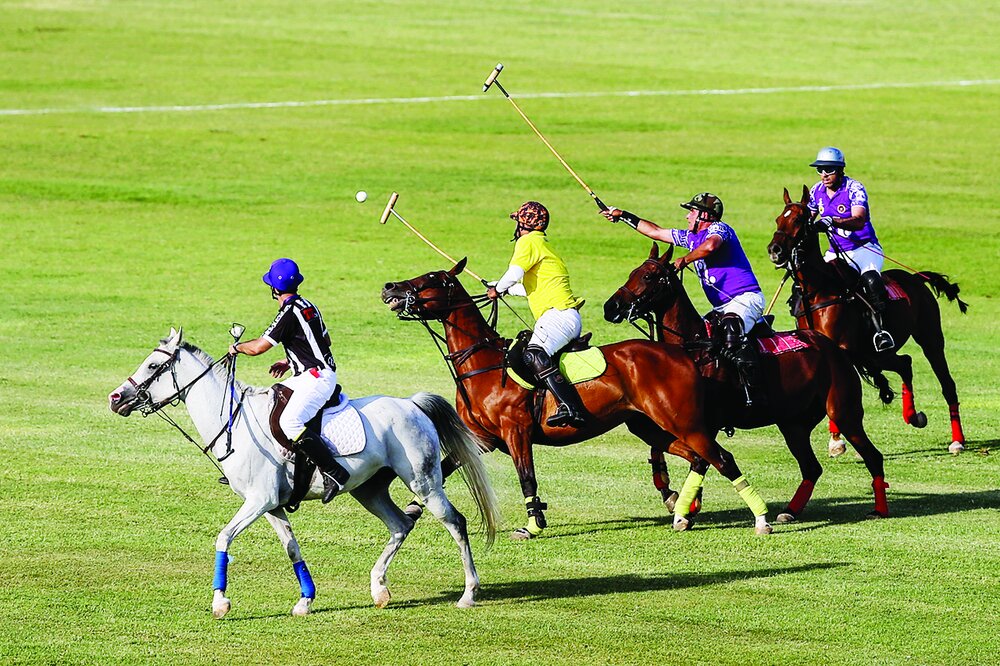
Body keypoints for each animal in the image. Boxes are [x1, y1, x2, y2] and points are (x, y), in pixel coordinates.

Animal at [108, 326, 500, 612]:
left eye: (153, 367)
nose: (115, 399)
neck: (233, 421)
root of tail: (413, 404)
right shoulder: (273, 505)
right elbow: (293, 549)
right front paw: (305, 601)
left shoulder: (259, 500)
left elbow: (224, 537)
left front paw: (220, 602)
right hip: (369, 489)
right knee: (401, 525)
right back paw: (379, 590)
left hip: (423, 481)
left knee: (455, 522)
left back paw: (468, 594)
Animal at [382, 256, 772, 536]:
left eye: (432, 279)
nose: (389, 287)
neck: (483, 365)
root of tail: (682, 352)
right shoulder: (484, 438)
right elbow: (445, 467)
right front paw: (413, 508)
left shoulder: (515, 432)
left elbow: (527, 476)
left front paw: (533, 524)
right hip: (649, 425)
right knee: (699, 458)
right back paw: (681, 509)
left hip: (682, 421)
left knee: (722, 458)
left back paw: (761, 519)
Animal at [600, 243, 892, 520]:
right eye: (632, 273)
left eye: (648, 276)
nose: (610, 307)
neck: (697, 348)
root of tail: (838, 350)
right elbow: (663, 448)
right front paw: (673, 494)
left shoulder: (706, 423)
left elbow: (701, 459)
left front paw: (686, 504)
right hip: (793, 424)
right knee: (811, 467)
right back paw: (790, 511)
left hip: (843, 411)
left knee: (872, 456)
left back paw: (879, 509)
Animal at [764, 189, 968, 454]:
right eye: (778, 219)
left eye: (799, 220)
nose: (775, 250)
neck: (818, 291)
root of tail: (916, 278)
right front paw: (836, 440)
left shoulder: (843, 349)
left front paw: (838, 438)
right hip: (875, 351)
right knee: (905, 363)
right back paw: (912, 415)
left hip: (929, 337)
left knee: (946, 383)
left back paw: (957, 440)